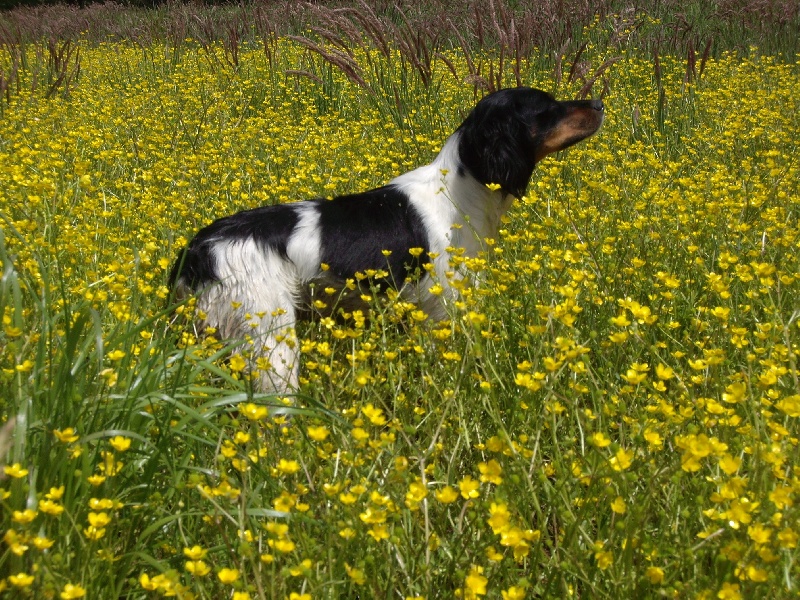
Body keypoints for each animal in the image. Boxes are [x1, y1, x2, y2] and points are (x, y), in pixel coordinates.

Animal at [170, 86, 608, 392]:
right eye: (548, 107)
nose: (600, 102)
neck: (460, 190)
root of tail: (197, 249)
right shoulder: (441, 307)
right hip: (268, 337)